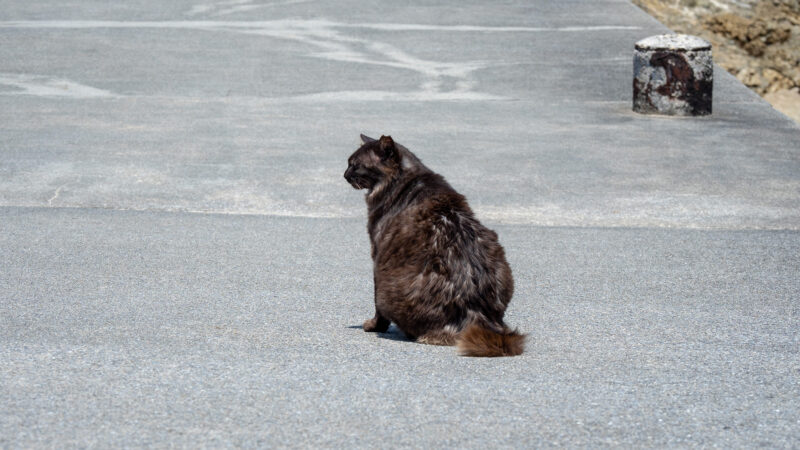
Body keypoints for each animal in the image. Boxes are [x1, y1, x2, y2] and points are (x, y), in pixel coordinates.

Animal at [344, 132, 524, 356]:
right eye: (349, 164)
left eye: (355, 165)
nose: (344, 174)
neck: (404, 177)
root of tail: (474, 311)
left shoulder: (376, 255)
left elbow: (376, 305)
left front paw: (374, 326)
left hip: (388, 285)